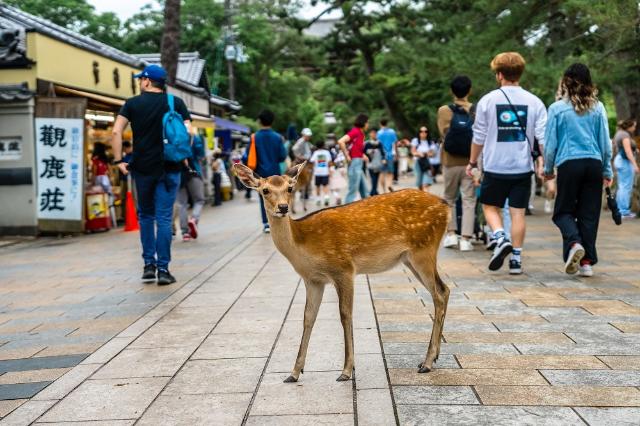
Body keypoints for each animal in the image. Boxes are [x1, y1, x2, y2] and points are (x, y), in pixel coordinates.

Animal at [234, 162, 450, 382]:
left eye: (289, 188)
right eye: (265, 190)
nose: (283, 207)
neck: (302, 244)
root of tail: (446, 206)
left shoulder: (343, 269)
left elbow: (345, 314)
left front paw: (346, 371)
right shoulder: (313, 280)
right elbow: (308, 317)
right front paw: (294, 373)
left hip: (423, 251)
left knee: (439, 294)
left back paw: (427, 362)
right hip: (410, 258)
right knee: (445, 289)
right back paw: (435, 356)